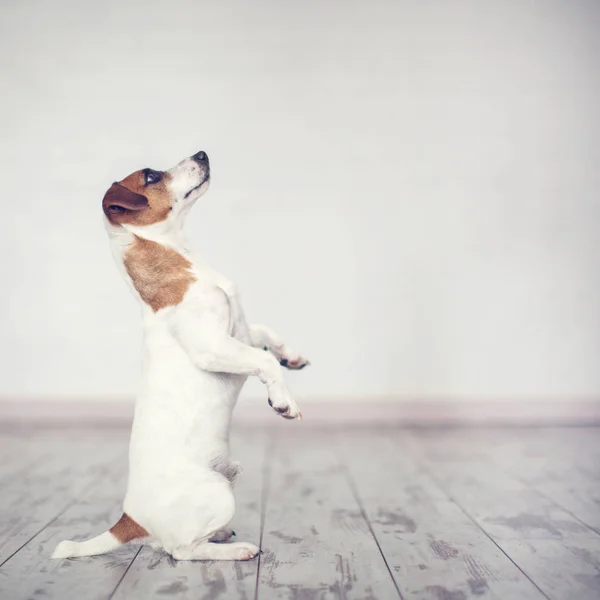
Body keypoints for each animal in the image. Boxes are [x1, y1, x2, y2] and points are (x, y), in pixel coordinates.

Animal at [51, 150, 310, 564]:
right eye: (151, 176)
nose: (202, 153)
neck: (184, 259)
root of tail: (130, 519)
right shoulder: (213, 345)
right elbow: (263, 360)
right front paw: (283, 400)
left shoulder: (240, 330)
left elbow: (268, 336)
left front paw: (293, 357)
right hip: (217, 495)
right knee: (181, 551)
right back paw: (235, 549)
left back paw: (221, 535)